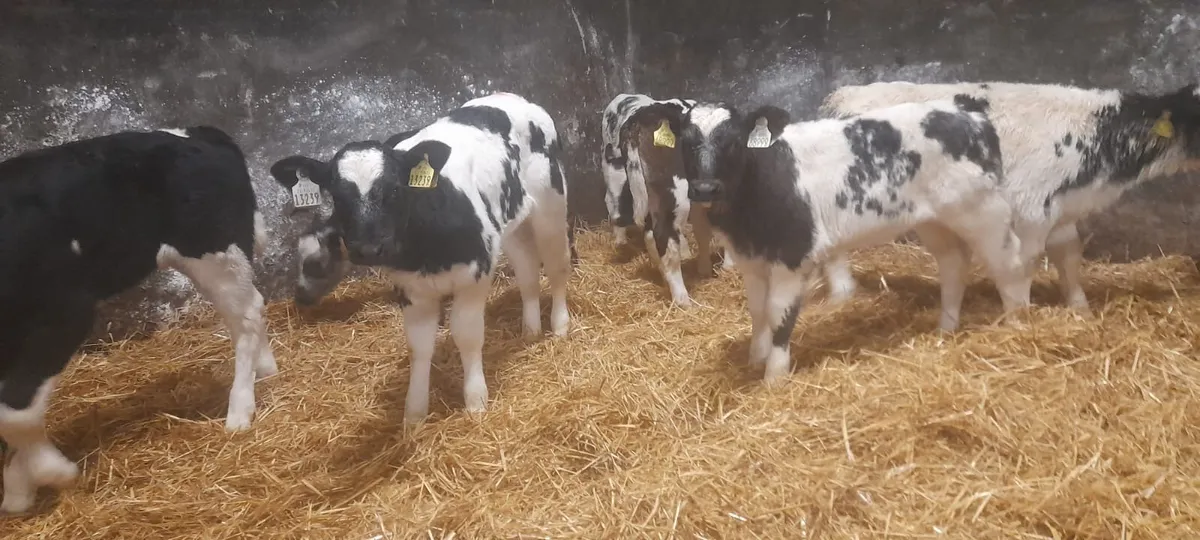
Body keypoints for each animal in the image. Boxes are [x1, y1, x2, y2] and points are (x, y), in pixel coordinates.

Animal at [0, 126, 277, 513]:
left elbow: (15, 411)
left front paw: (47, 473)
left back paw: (240, 410)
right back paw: (265, 371)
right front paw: (19, 486)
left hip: (214, 250)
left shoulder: (64, 313)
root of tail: (197, 133)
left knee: (247, 313)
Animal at [270, 92, 572, 425]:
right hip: (512, 223)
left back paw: (559, 325)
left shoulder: (474, 275)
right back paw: (530, 330)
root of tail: (513, 97)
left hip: (551, 206)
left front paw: (475, 401)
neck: (424, 251)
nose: (367, 248)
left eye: (394, 189)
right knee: (527, 269)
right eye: (336, 196)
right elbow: (419, 346)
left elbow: (467, 335)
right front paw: (414, 415)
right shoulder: (410, 289)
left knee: (556, 265)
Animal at [626, 99, 1033, 383]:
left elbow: (779, 313)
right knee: (953, 265)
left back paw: (1016, 327)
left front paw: (774, 376)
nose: (706, 188)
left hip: (983, 209)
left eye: (734, 141)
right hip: (934, 218)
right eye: (686, 140)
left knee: (1009, 262)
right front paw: (755, 358)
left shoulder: (793, 254)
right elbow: (757, 310)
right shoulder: (751, 257)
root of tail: (970, 114)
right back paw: (945, 329)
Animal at [820, 81, 1200, 314]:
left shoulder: (1063, 209)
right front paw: (1022, 317)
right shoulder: (1032, 210)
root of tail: (843, 96)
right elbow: (1024, 265)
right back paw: (842, 292)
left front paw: (1081, 310)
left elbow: (1069, 257)